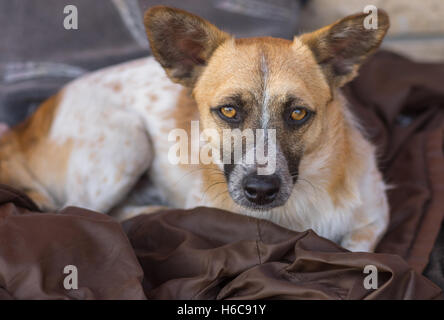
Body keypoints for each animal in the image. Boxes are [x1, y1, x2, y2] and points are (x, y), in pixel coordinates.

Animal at [0, 5, 388, 252]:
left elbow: (356, 253)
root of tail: (21, 127)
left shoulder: (374, 222)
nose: (261, 190)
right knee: (80, 212)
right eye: (229, 110)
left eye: (297, 114)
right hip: (128, 142)